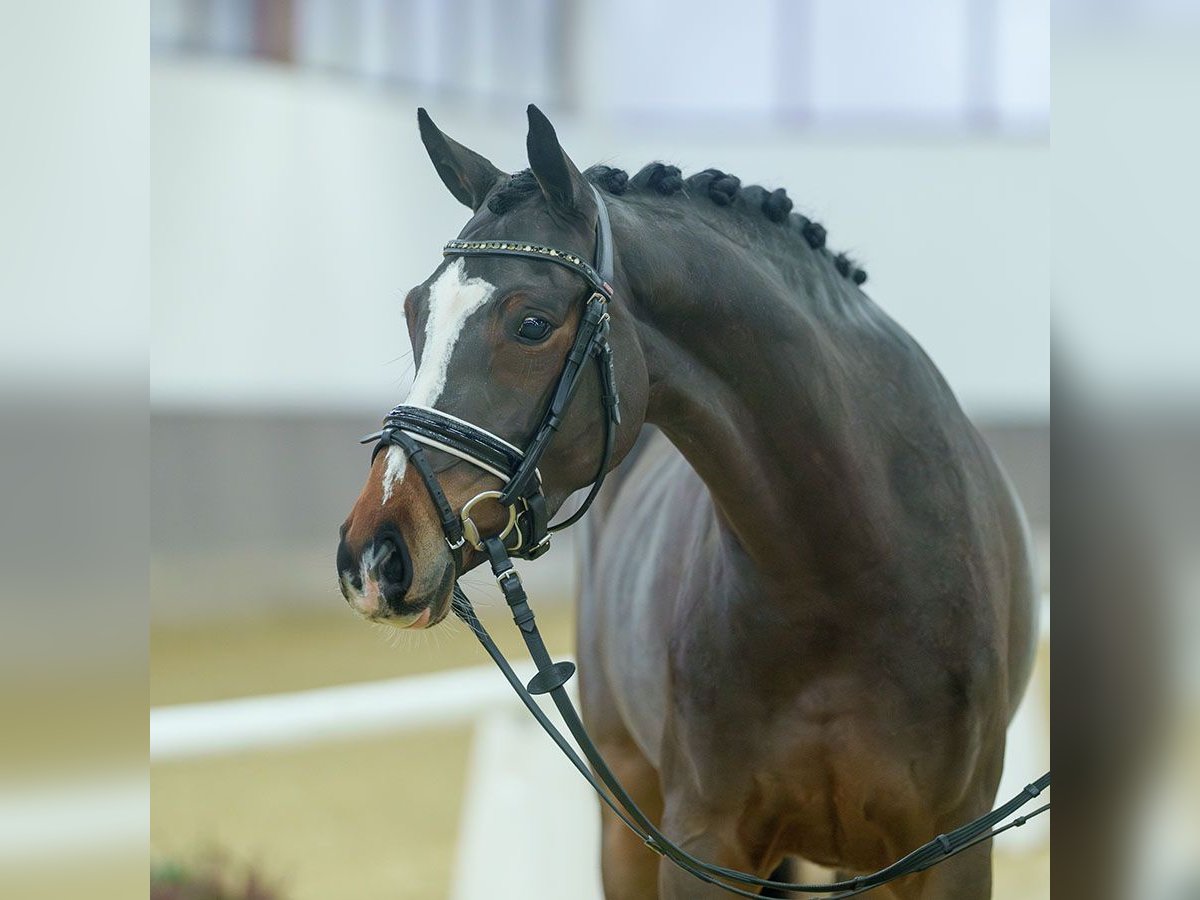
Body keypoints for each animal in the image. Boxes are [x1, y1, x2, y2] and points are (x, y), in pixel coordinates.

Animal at [340, 102, 1041, 897]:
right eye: (414, 311)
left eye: (531, 324)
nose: (374, 557)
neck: (845, 572)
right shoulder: (702, 842)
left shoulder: (948, 851)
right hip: (626, 823)